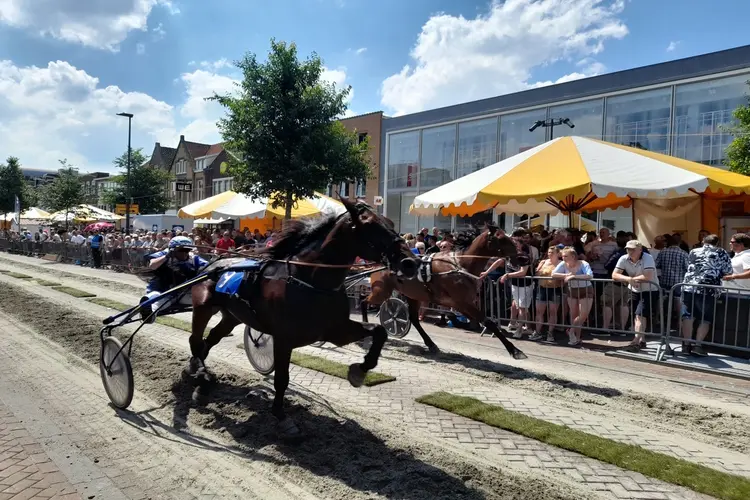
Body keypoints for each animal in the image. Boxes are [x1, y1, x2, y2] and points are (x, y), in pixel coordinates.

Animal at [181, 199, 418, 438]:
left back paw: (197, 373)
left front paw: (359, 370)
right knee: (195, 340)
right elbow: (281, 378)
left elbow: (379, 332)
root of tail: (212, 263)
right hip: (203, 306)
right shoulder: (283, 338)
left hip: (232, 316)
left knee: (210, 339)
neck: (310, 280)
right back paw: (200, 375)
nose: (411, 262)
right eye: (370, 225)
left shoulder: (336, 330)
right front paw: (281, 415)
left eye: (390, 222)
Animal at [362, 227, 528, 360]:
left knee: (414, 319)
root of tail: (380, 263)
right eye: (502, 238)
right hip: (381, 291)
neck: (460, 265)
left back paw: (431, 344)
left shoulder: (464, 303)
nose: (523, 258)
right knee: (364, 302)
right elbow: (489, 322)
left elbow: (479, 320)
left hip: (413, 295)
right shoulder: (462, 303)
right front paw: (515, 351)